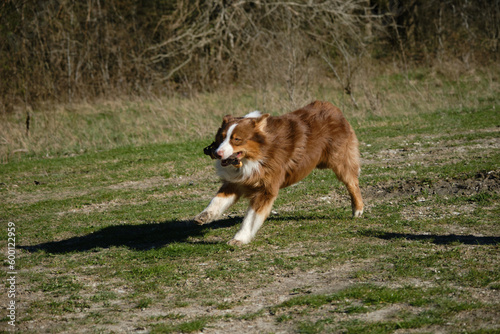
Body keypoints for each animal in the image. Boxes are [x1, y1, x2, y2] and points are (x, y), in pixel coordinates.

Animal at [195, 100, 364, 244]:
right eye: (221, 137)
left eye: (236, 139)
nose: (217, 153)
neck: (255, 156)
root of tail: (332, 107)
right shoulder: (237, 181)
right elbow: (217, 200)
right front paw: (204, 216)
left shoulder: (266, 189)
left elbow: (250, 218)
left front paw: (240, 238)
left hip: (339, 160)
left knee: (352, 182)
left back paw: (358, 209)